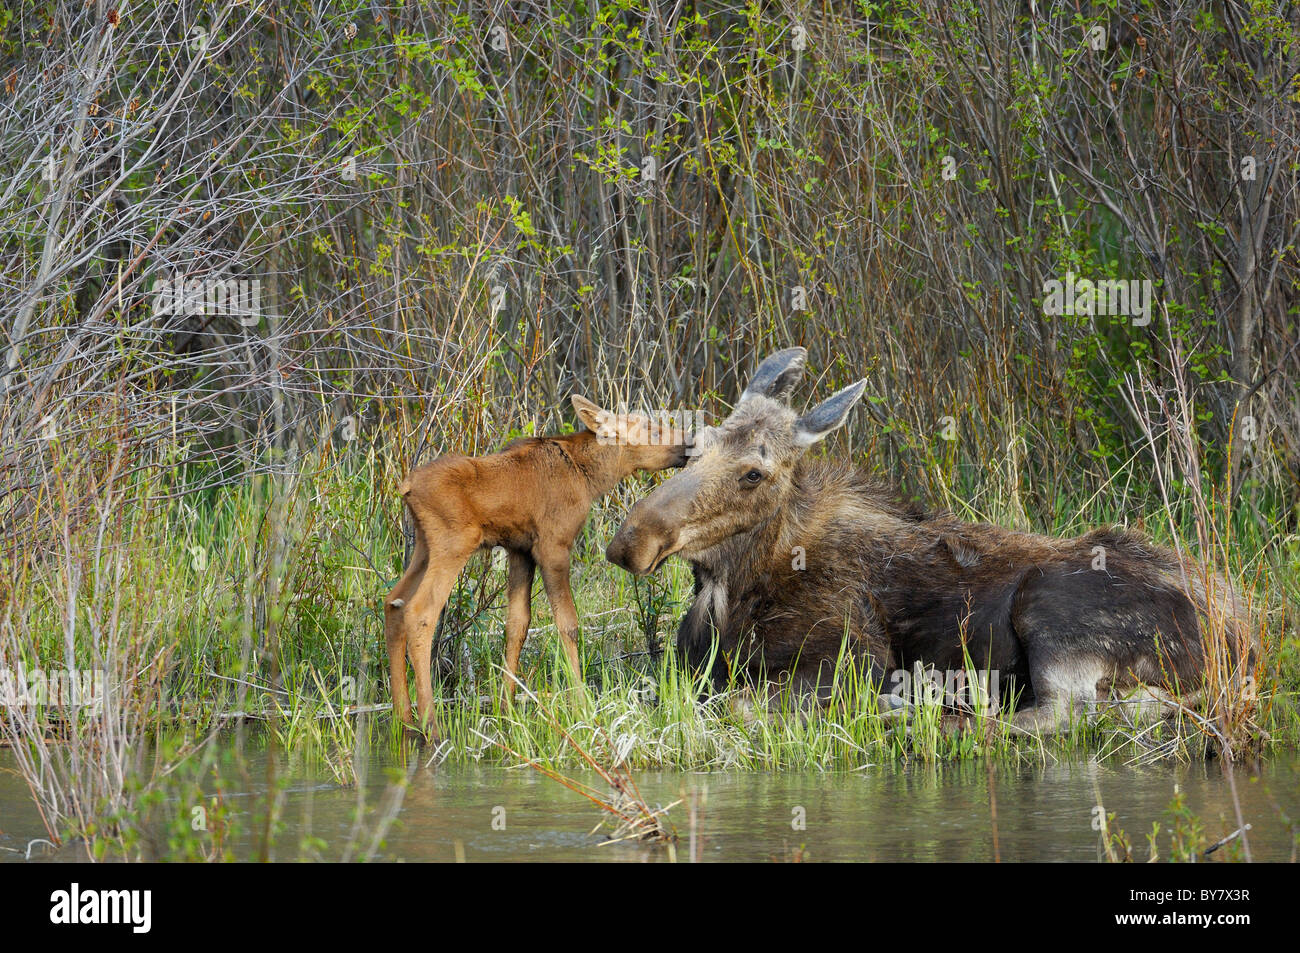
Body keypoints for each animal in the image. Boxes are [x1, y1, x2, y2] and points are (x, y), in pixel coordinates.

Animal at [384, 395, 691, 738]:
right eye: (650, 428)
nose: (689, 443)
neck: (589, 477)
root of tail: (406, 486)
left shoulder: (520, 550)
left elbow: (517, 624)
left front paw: (506, 708)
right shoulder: (553, 545)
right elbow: (568, 623)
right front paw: (581, 704)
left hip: (424, 546)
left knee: (393, 602)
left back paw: (403, 718)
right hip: (453, 543)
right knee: (420, 612)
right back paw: (430, 724)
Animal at [603, 348, 1253, 728]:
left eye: (753, 473)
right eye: (695, 444)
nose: (631, 540)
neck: (729, 591)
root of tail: (1244, 634)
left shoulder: (851, 657)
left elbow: (741, 703)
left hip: (1050, 609)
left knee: (1057, 715)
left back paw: (918, 709)